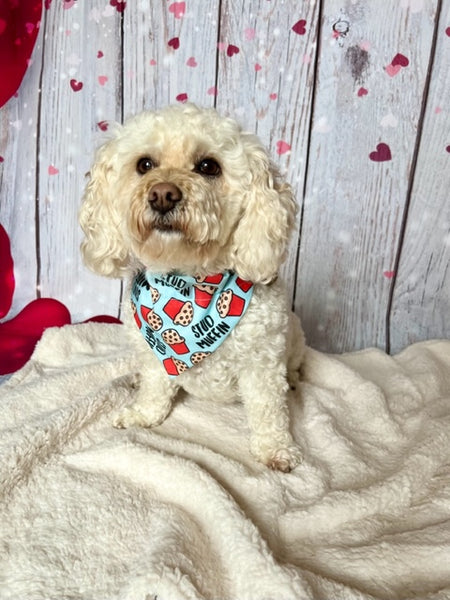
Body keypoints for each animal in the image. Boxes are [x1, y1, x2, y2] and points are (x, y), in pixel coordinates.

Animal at [80, 104, 306, 474]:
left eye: (208, 166)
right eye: (145, 164)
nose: (163, 195)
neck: (190, 283)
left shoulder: (262, 364)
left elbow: (267, 409)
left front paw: (275, 449)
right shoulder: (153, 351)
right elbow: (155, 386)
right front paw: (143, 414)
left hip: (295, 335)